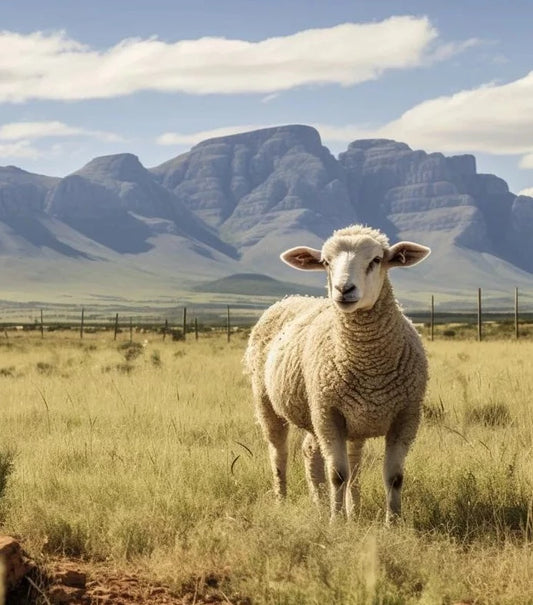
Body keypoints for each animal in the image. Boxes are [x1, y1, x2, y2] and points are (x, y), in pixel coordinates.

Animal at [243, 224, 430, 520]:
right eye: (325, 262)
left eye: (376, 260)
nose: (344, 289)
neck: (369, 364)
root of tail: (290, 298)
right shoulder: (329, 414)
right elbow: (338, 474)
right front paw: (336, 521)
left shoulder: (406, 416)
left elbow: (394, 477)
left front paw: (393, 522)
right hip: (271, 403)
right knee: (278, 453)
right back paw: (283, 501)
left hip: (343, 416)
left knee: (323, 454)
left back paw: (339, 507)